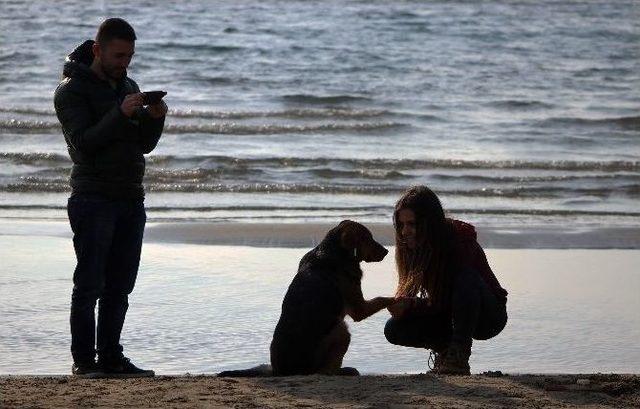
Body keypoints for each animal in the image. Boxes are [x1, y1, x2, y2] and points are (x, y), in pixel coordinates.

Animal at [221, 220, 400, 376]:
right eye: (367, 238)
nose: (386, 251)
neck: (334, 250)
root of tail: (280, 371)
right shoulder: (359, 308)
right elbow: (383, 298)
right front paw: (399, 299)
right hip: (340, 330)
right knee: (324, 371)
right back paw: (345, 371)